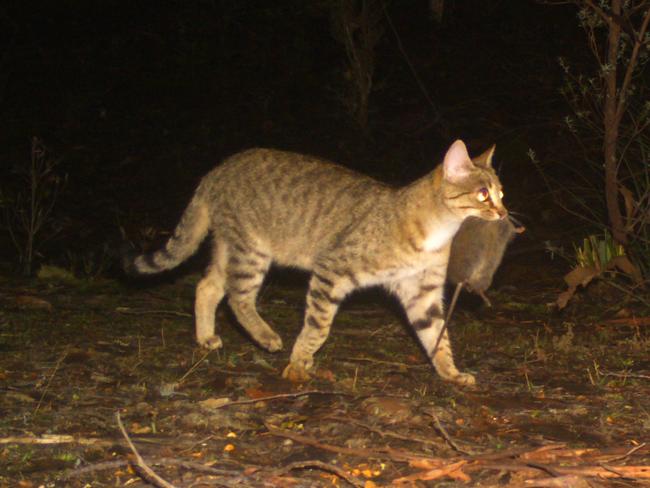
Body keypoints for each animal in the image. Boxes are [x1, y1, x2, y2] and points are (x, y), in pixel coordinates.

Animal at [123, 140, 506, 386]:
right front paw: (298, 362)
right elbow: (319, 326)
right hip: (251, 250)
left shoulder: (421, 292)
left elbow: (437, 335)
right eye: (482, 194)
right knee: (237, 297)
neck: (437, 232)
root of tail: (216, 170)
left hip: (228, 246)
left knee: (207, 287)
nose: (503, 213)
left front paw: (450, 373)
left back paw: (206, 337)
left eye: (501, 193)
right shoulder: (332, 269)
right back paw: (266, 336)